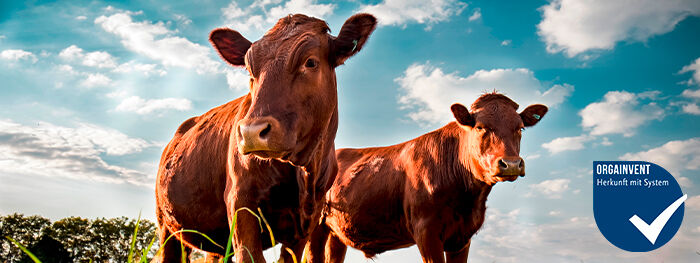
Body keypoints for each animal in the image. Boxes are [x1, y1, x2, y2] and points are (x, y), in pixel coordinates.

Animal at [151, 14, 374, 263]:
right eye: (250, 70)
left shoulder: (307, 222)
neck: (304, 173)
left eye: (310, 62)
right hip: (166, 225)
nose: (251, 132)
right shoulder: (240, 202)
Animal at [306, 94, 548, 262]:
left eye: (520, 128)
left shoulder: (462, 237)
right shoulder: (426, 232)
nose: (511, 164)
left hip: (337, 233)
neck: (468, 201)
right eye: (480, 127)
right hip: (314, 226)